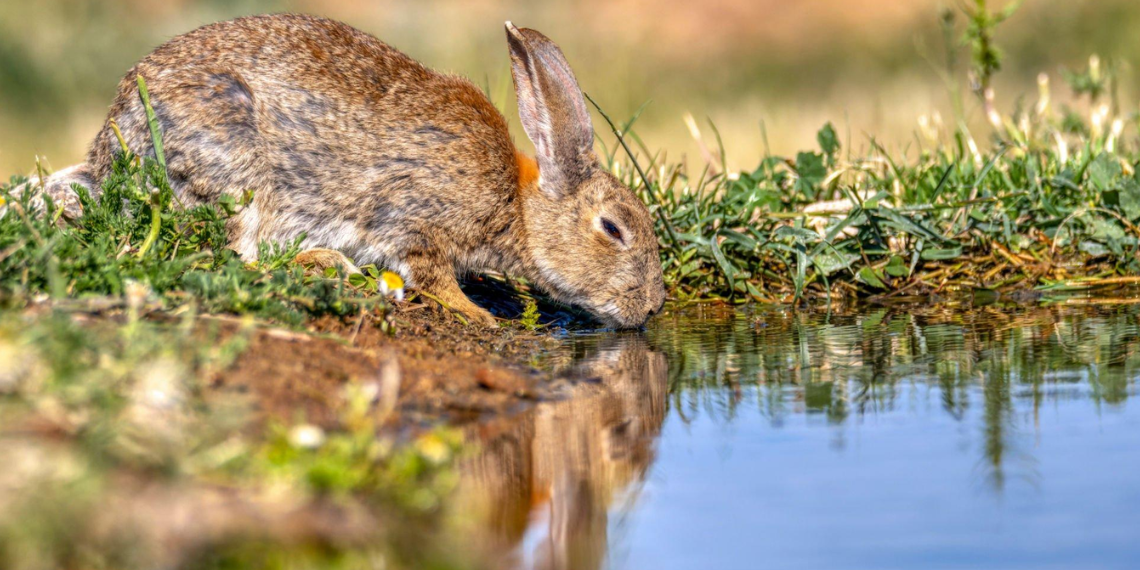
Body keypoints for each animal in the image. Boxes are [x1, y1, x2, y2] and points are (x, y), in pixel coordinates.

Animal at [48, 13, 665, 328]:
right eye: (613, 229)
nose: (654, 306)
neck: (516, 205)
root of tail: (111, 151)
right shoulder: (417, 220)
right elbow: (431, 275)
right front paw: (479, 315)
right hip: (238, 171)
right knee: (241, 256)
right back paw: (329, 266)